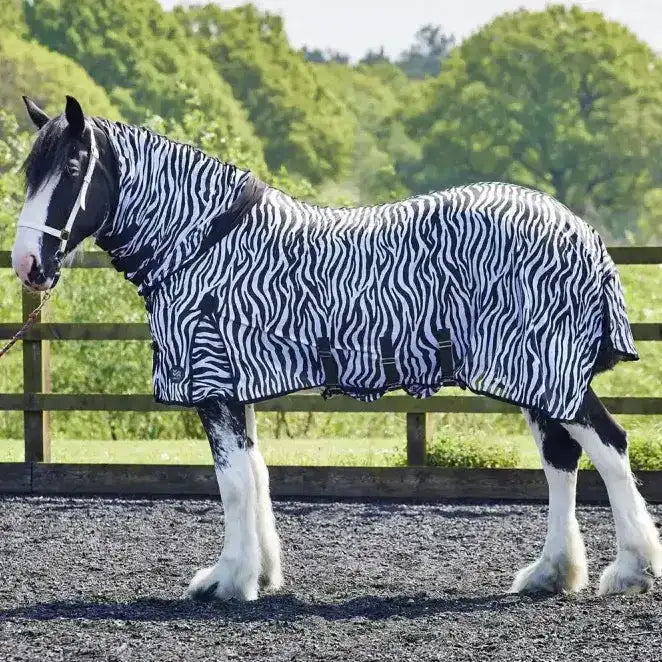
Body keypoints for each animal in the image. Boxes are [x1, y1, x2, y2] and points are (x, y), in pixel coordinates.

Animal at [12, 95, 662, 600]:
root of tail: (580, 229)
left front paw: (227, 580)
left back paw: (630, 569)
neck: (203, 240)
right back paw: (553, 573)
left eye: (73, 165)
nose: (27, 264)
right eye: (29, 173)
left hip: (549, 374)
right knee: (562, 460)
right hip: (537, 378)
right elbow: (256, 474)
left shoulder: (213, 387)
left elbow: (233, 482)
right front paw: (260, 573)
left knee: (609, 446)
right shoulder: (237, 386)